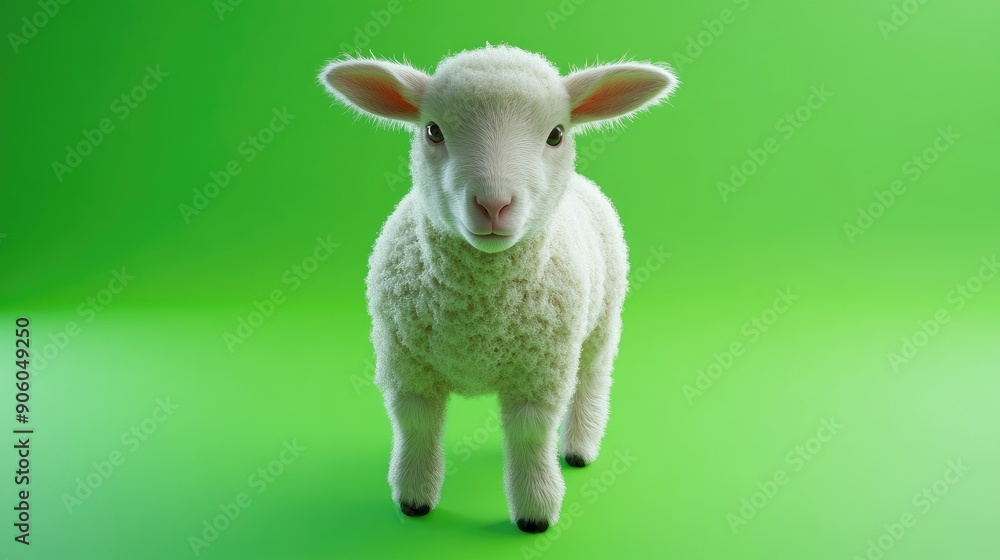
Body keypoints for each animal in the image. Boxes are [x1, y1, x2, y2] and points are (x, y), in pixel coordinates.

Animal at [319, 45, 677, 533]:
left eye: (556, 135)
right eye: (432, 130)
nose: (493, 204)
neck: (480, 310)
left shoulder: (541, 369)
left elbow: (530, 434)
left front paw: (535, 511)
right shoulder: (405, 363)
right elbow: (416, 425)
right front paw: (414, 498)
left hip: (602, 323)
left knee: (592, 377)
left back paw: (580, 447)